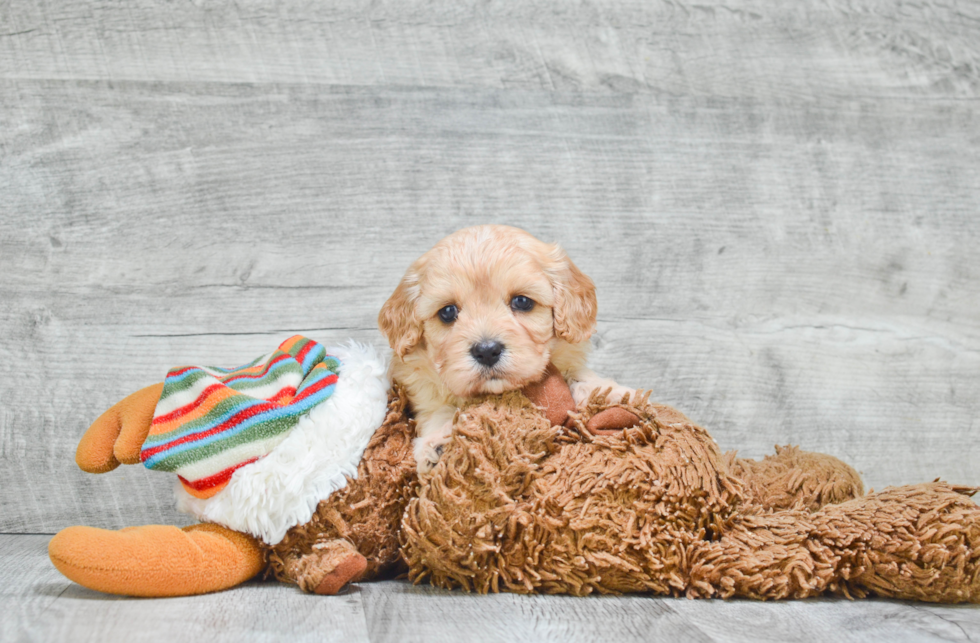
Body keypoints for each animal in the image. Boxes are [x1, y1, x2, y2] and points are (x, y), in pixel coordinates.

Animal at [376, 226, 636, 472]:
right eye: (447, 312)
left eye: (522, 301)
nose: (487, 351)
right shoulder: (420, 387)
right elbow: (438, 409)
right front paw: (439, 441)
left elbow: (581, 376)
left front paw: (614, 393)